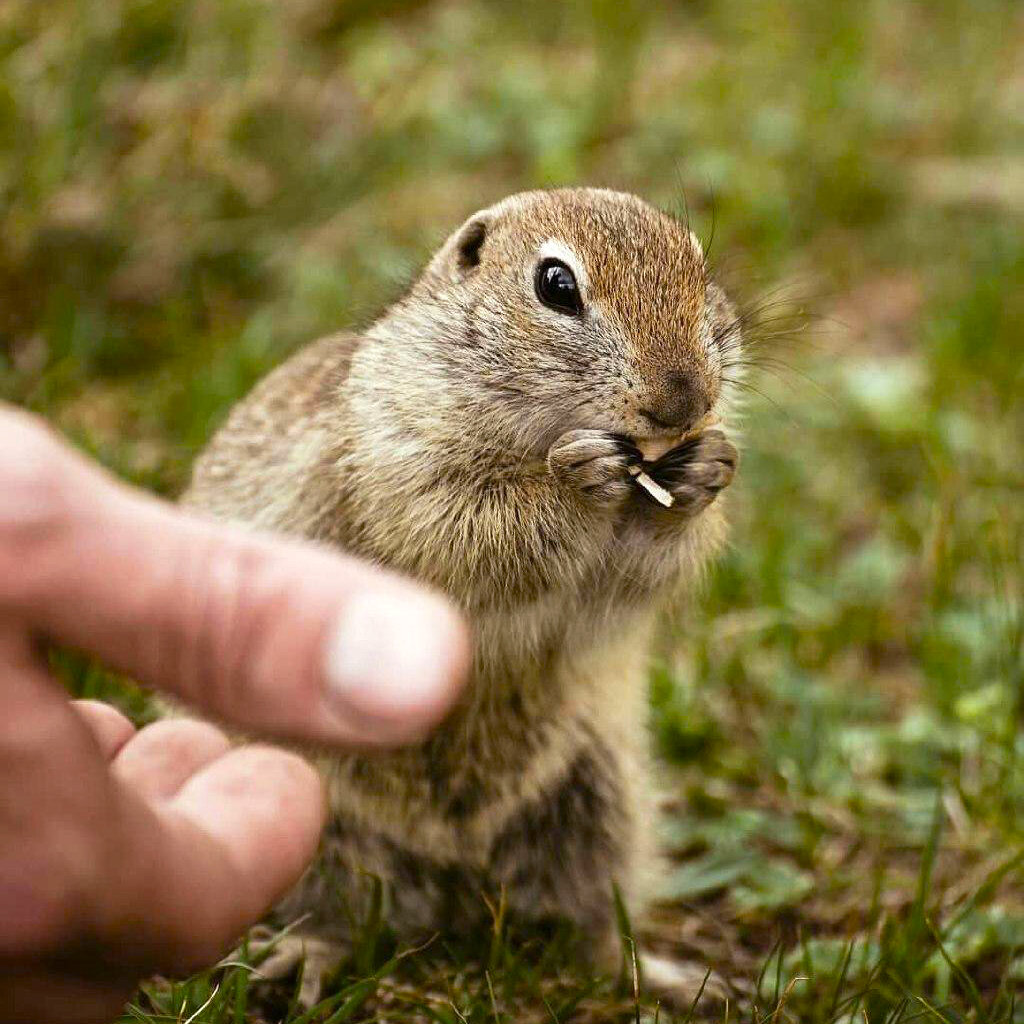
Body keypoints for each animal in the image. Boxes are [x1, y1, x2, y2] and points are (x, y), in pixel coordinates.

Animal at [184, 188, 741, 1003]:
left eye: (701, 267)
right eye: (555, 285)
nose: (686, 400)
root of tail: (453, 864)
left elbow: (645, 570)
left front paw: (706, 469)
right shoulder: (399, 462)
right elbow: (472, 528)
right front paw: (579, 479)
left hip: (600, 801)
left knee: (583, 915)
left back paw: (649, 970)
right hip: (309, 815)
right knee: (340, 910)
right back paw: (306, 959)